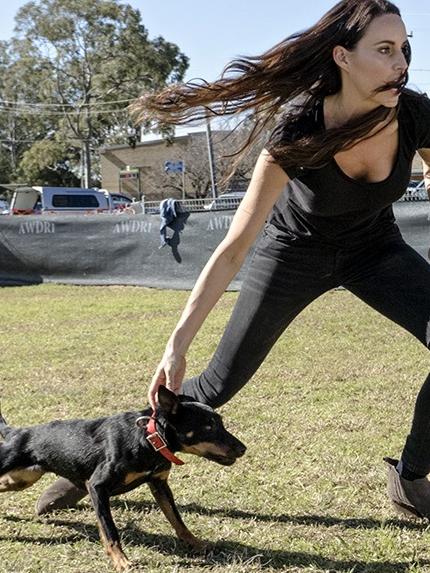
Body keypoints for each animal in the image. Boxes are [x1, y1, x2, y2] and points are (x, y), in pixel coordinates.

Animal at [0, 386, 245, 568]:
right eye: (208, 426)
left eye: (219, 421)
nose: (243, 449)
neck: (148, 439)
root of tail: (17, 433)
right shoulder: (97, 487)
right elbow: (110, 530)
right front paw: (121, 561)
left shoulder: (159, 484)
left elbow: (177, 519)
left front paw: (196, 543)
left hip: (22, 479)